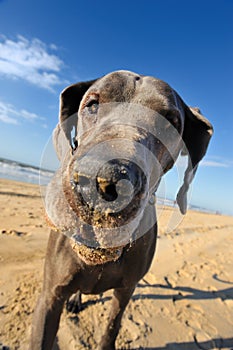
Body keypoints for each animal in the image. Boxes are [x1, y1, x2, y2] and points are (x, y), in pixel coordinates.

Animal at [29, 69, 213, 348]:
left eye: (169, 124)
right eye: (92, 104)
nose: (100, 180)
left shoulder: (125, 292)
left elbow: (111, 329)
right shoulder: (50, 295)